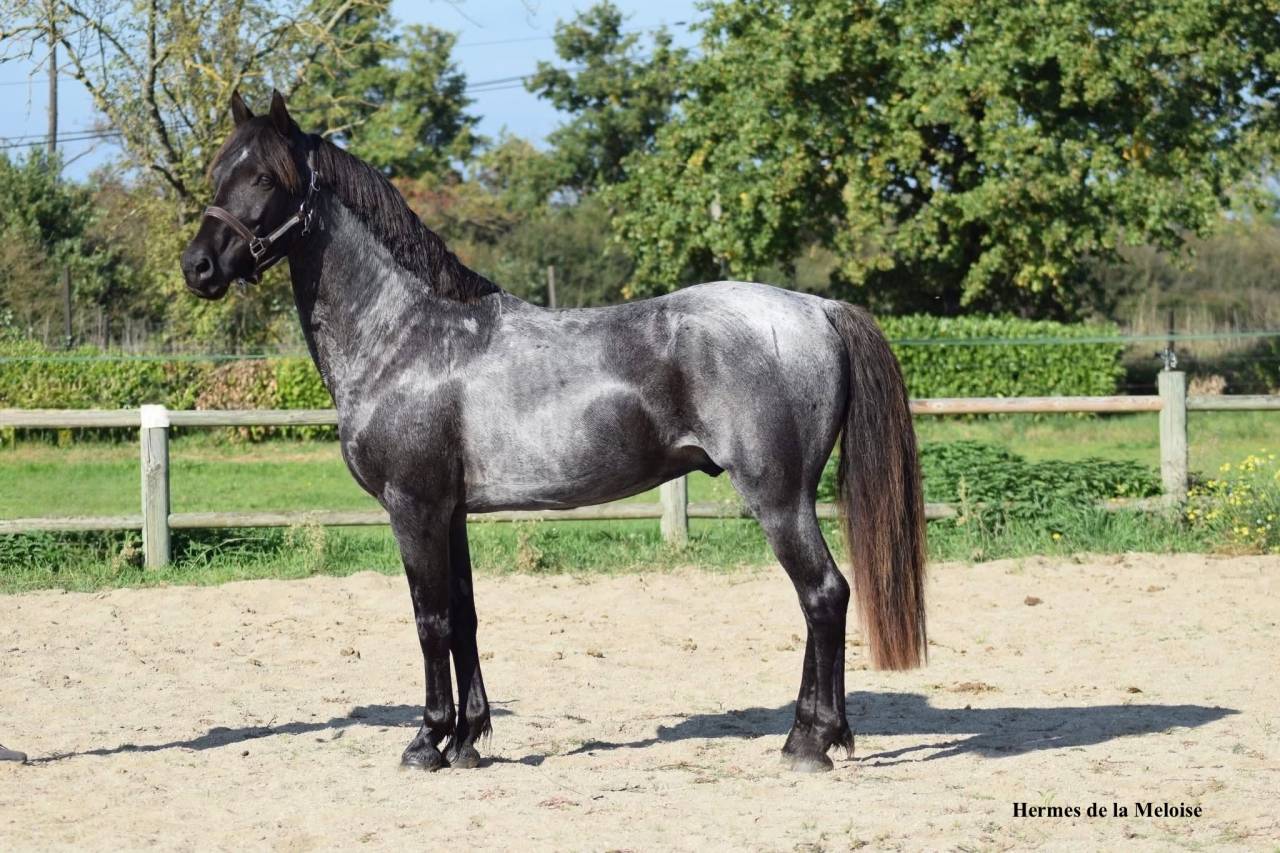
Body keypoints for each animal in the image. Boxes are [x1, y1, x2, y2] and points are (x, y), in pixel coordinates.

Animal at [180, 90, 927, 773]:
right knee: (817, 600)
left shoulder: (412, 508)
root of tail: (816, 307)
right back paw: (816, 734)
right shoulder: (450, 512)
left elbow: (430, 620)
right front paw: (468, 742)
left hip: (778, 497)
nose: (198, 267)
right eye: (219, 171)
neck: (408, 336)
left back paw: (809, 743)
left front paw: (426, 742)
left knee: (823, 594)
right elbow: (465, 616)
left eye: (265, 178)